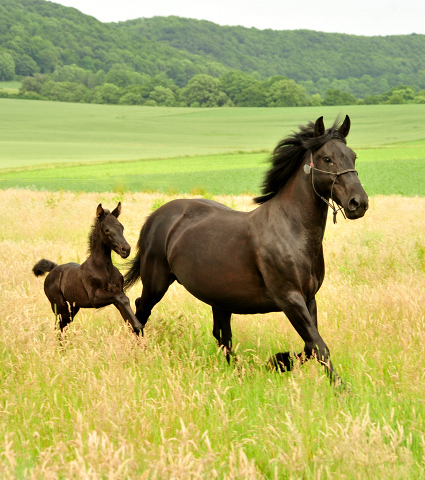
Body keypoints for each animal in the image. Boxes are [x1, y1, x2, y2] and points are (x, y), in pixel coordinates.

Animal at [33, 204, 142, 336]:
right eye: (106, 229)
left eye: (121, 227)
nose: (125, 249)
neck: (104, 268)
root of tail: (53, 269)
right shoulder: (95, 298)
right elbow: (122, 298)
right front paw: (138, 325)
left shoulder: (115, 296)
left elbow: (126, 314)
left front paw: (137, 329)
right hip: (59, 306)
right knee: (60, 327)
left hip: (73, 306)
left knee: (64, 326)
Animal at [123, 116, 368, 382]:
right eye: (327, 158)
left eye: (353, 156)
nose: (359, 203)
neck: (292, 231)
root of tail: (156, 217)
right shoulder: (290, 299)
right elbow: (319, 347)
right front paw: (340, 387)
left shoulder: (309, 298)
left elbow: (310, 346)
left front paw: (278, 361)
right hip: (157, 282)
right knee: (141, 309)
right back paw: (139, 352)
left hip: (218, 297)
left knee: (222, 335)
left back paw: (236, 371)